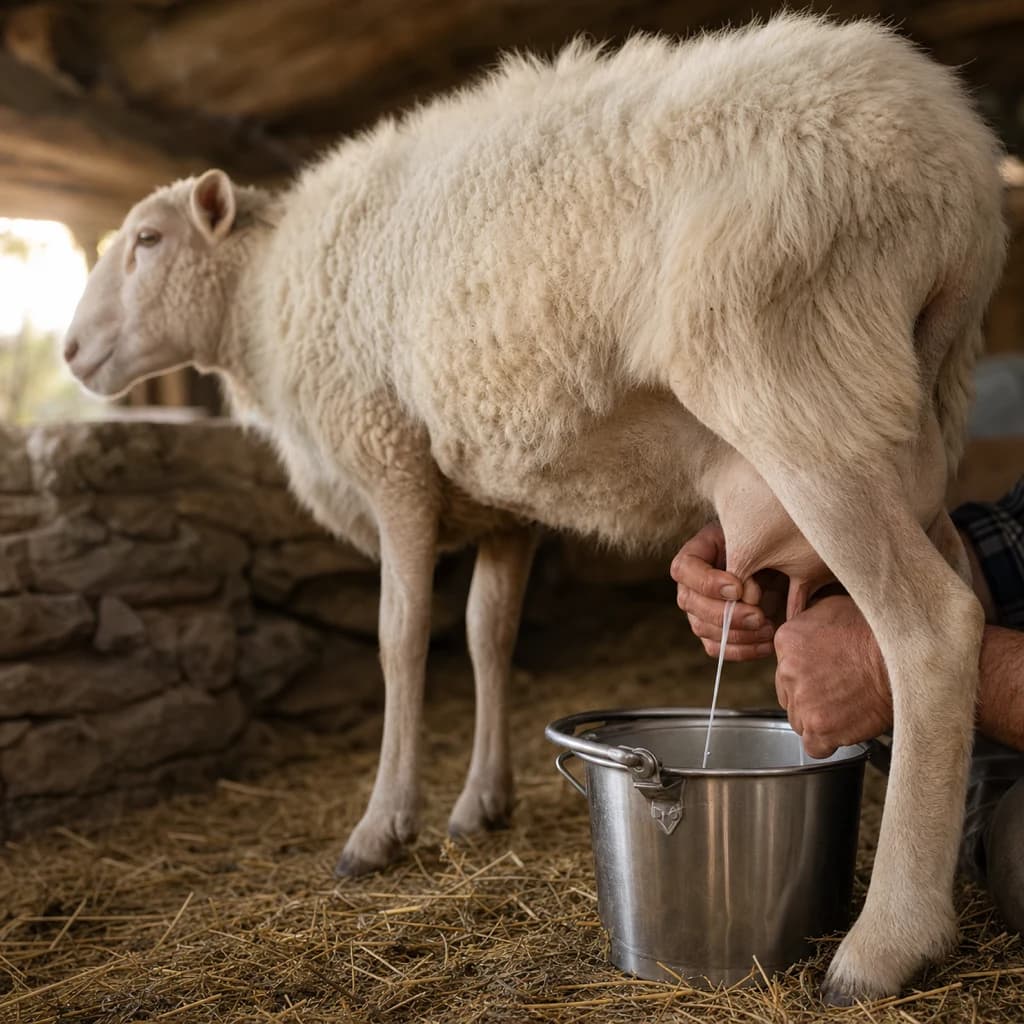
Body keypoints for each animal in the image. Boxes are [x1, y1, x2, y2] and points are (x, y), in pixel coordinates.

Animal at [64, 13, 1006, 1002]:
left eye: (148, 240)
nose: (71, 351)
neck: (259, 299)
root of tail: (957, 170)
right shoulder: (499, 505)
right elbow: (489, 635)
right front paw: (482, 803)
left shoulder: (391, 457)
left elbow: (402, 639)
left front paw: (380, 827)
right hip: (912, 419)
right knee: (963, 587)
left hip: (798, 382)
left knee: (932, 630)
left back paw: (885, 944)